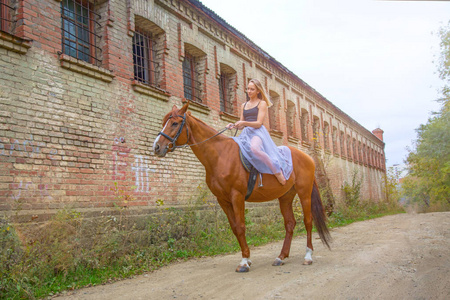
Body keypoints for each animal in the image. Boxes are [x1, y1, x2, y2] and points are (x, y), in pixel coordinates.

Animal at [153, 102, 328, 272]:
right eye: (164, 122)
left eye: (175, 123)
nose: (156, 147)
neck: (221, 155)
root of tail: (308, 157)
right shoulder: (223, 200)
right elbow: (234, 228)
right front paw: (247, 258)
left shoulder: (237, 196)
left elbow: (241, 226)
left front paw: (244, 262)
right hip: (286, 196)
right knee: (290, 223)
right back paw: (281, 257)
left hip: (304, 193)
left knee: (308, 221)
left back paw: (308, 256)